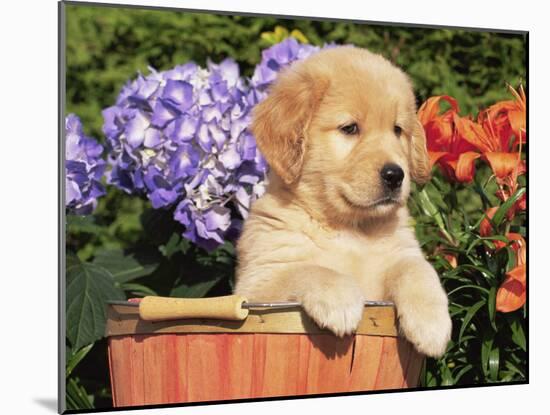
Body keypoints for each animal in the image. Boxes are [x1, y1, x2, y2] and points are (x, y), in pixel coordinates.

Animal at [236, 44, 452, 358]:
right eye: (350, 128)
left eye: (397, 130)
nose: (395, 175)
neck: (352, 228)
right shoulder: (256, 285)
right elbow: (306, 269)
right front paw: (340, 299)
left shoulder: (402, 252)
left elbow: (418, 270)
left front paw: (432, 324)